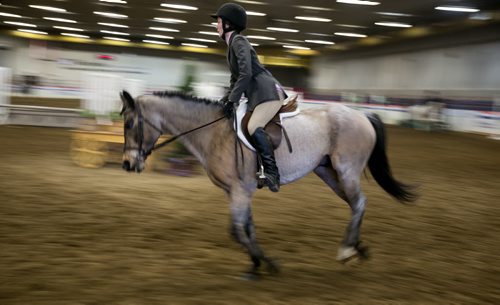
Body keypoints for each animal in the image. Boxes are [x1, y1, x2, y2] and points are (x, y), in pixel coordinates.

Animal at [119, 89, 416, 276]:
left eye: (130, 124)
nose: (128, 164)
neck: (212, 132)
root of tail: (363, 115)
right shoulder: (238, 192)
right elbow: (246, 229)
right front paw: (256, 264)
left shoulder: (239, 191)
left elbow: (237, 231)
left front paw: (268, 264)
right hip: (329, 173)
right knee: (355, 205)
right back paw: (358, 248)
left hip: (347, 170)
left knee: (359, 202)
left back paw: (346, 251)